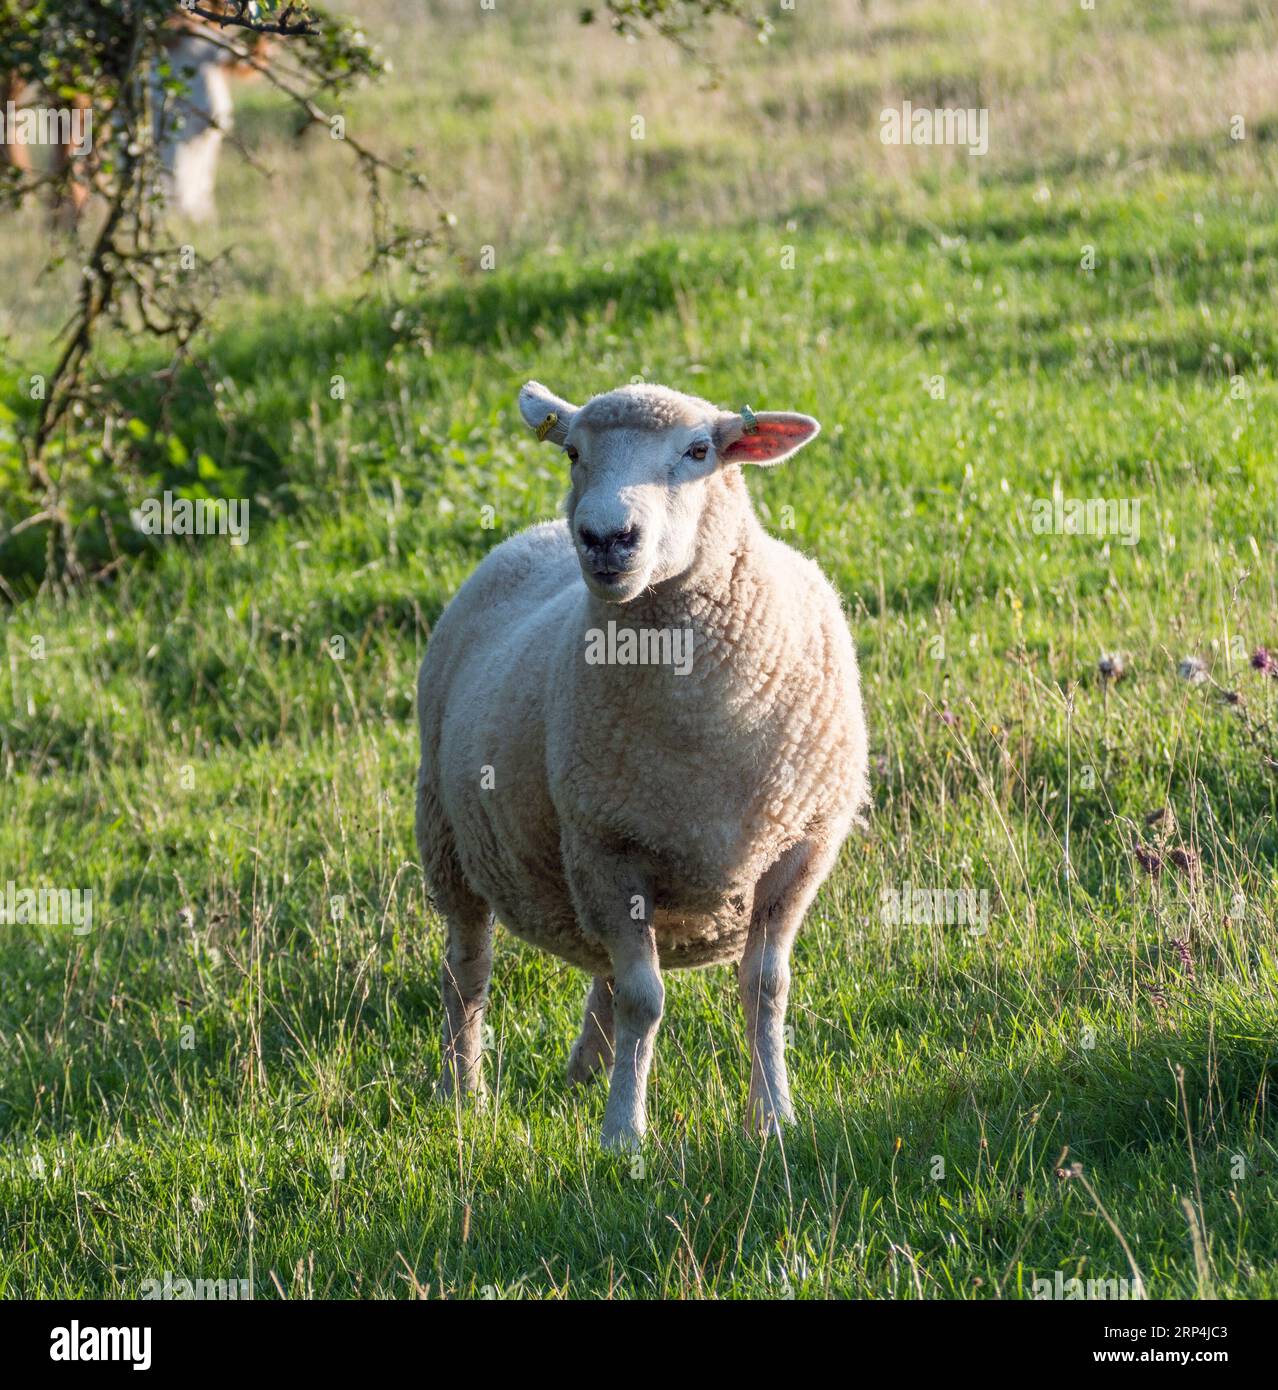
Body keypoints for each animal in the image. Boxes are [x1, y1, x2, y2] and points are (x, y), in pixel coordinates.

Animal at [415, 380, 869, 1148]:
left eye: (699, 451)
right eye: (573, 452)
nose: (605, 537)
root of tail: (531, 534)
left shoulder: (800, 848)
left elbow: (765, 989)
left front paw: (773, 1116)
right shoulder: (607, 849)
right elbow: (644, 998)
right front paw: (624, 1132)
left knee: (599, 966)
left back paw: (586, 1070)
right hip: (448, 835)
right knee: (467, 972)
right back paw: (462, 1093)